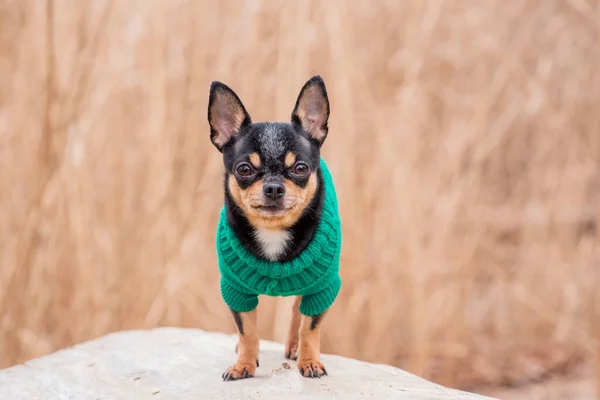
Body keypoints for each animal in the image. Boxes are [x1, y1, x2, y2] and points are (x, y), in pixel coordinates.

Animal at [209, 76, 342, 382]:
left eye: (301, 168)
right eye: (244, 169)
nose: (273, 187)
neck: (273, 231)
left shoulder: (323, 286)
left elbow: (310, 327)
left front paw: (309, 360)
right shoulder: (235, 288)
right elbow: (247, 330)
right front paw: (243, 364)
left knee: (297, 311)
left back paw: (294, 348)